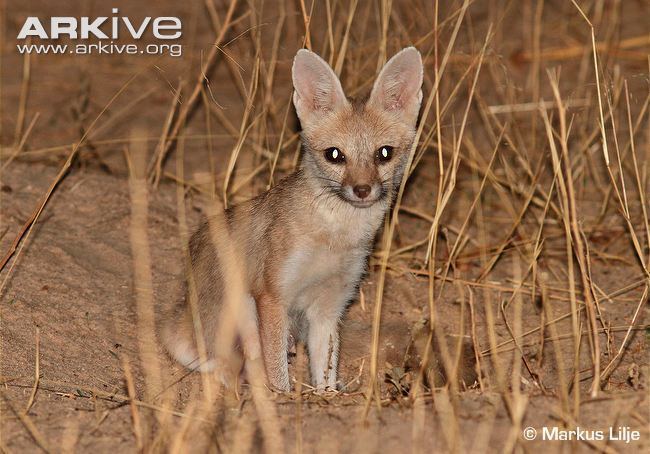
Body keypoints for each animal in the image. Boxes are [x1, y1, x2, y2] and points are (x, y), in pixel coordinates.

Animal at [162, 47, 422, 394]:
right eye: (334, 155)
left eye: (384, 153)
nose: (362, 190)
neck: (334, 239)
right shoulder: (273, 296)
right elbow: (277, 373)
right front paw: (282, 399)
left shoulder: (329, 308)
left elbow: (325, 371)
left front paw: (325, 397)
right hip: (242, 308)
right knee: (230, 367)